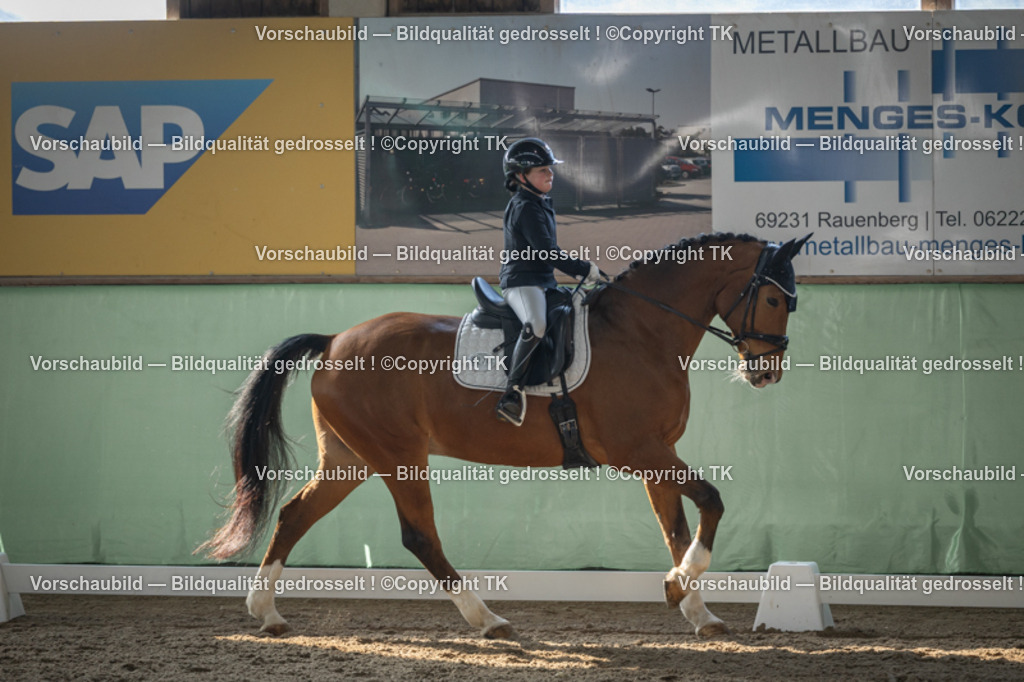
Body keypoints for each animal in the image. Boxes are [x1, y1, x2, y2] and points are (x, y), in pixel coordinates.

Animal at [199, 232, 811, 639]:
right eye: (773, 299)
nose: (767, 372)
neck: (642, 332)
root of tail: (333, 341)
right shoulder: (639, 450)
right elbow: (711, 500)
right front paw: (681, 586)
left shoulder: (657, 452)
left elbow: (677, 529)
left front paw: (694, 606)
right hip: (398, 456)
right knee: (419, 536)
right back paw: (488, 618)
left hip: (351, 458)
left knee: (295, 514)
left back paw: (268, 612)